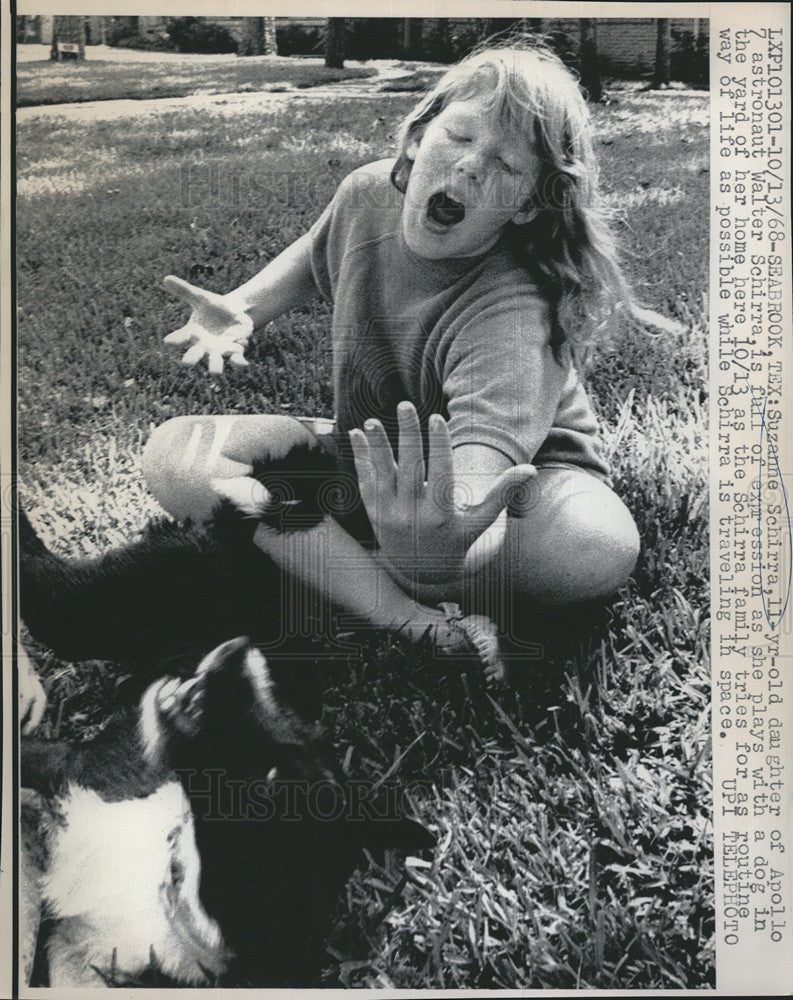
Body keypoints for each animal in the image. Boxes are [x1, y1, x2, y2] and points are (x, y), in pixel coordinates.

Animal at [18, 492, 436, 984]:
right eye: (281, 709)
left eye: (269, 782)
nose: (239, 650)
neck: (177, 888)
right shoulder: (70, 765)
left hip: (84, 611)